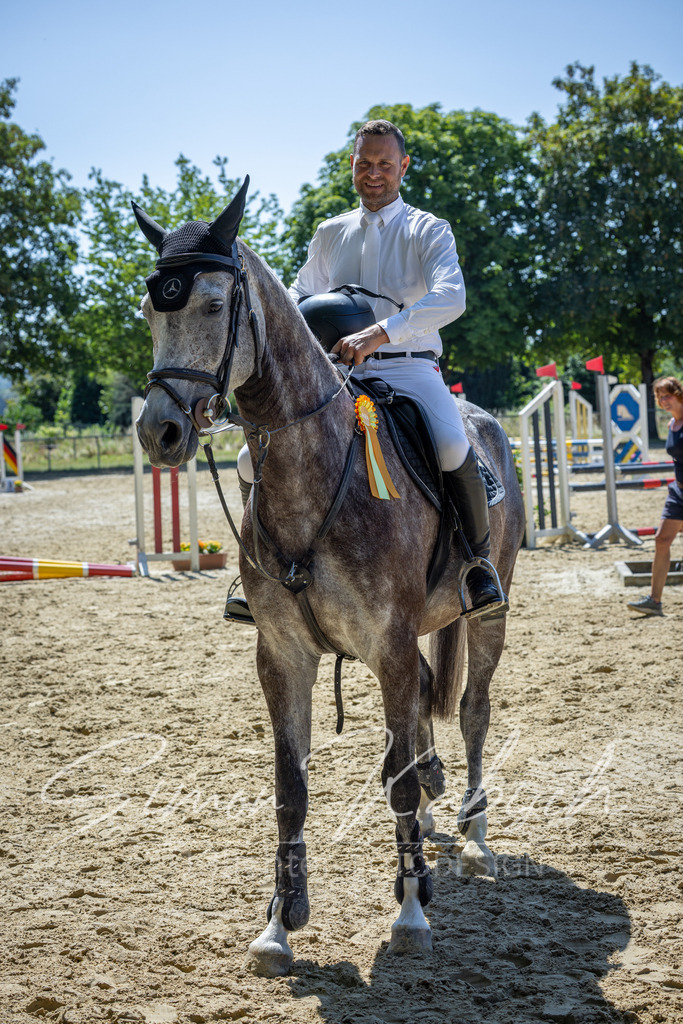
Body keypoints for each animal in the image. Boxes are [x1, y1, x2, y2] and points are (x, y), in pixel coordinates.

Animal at [133, 179, 525, 977]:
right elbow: (292, 787)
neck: (315, 472)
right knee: (418, 720)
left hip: (485, 615)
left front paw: (410, 913)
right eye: (152, 310)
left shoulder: (389, 646)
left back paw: (472, 839)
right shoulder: (284, 656)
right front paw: (278, 924)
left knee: (471, 712)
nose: (160, 431)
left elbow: (398, 777)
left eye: (213, 305)